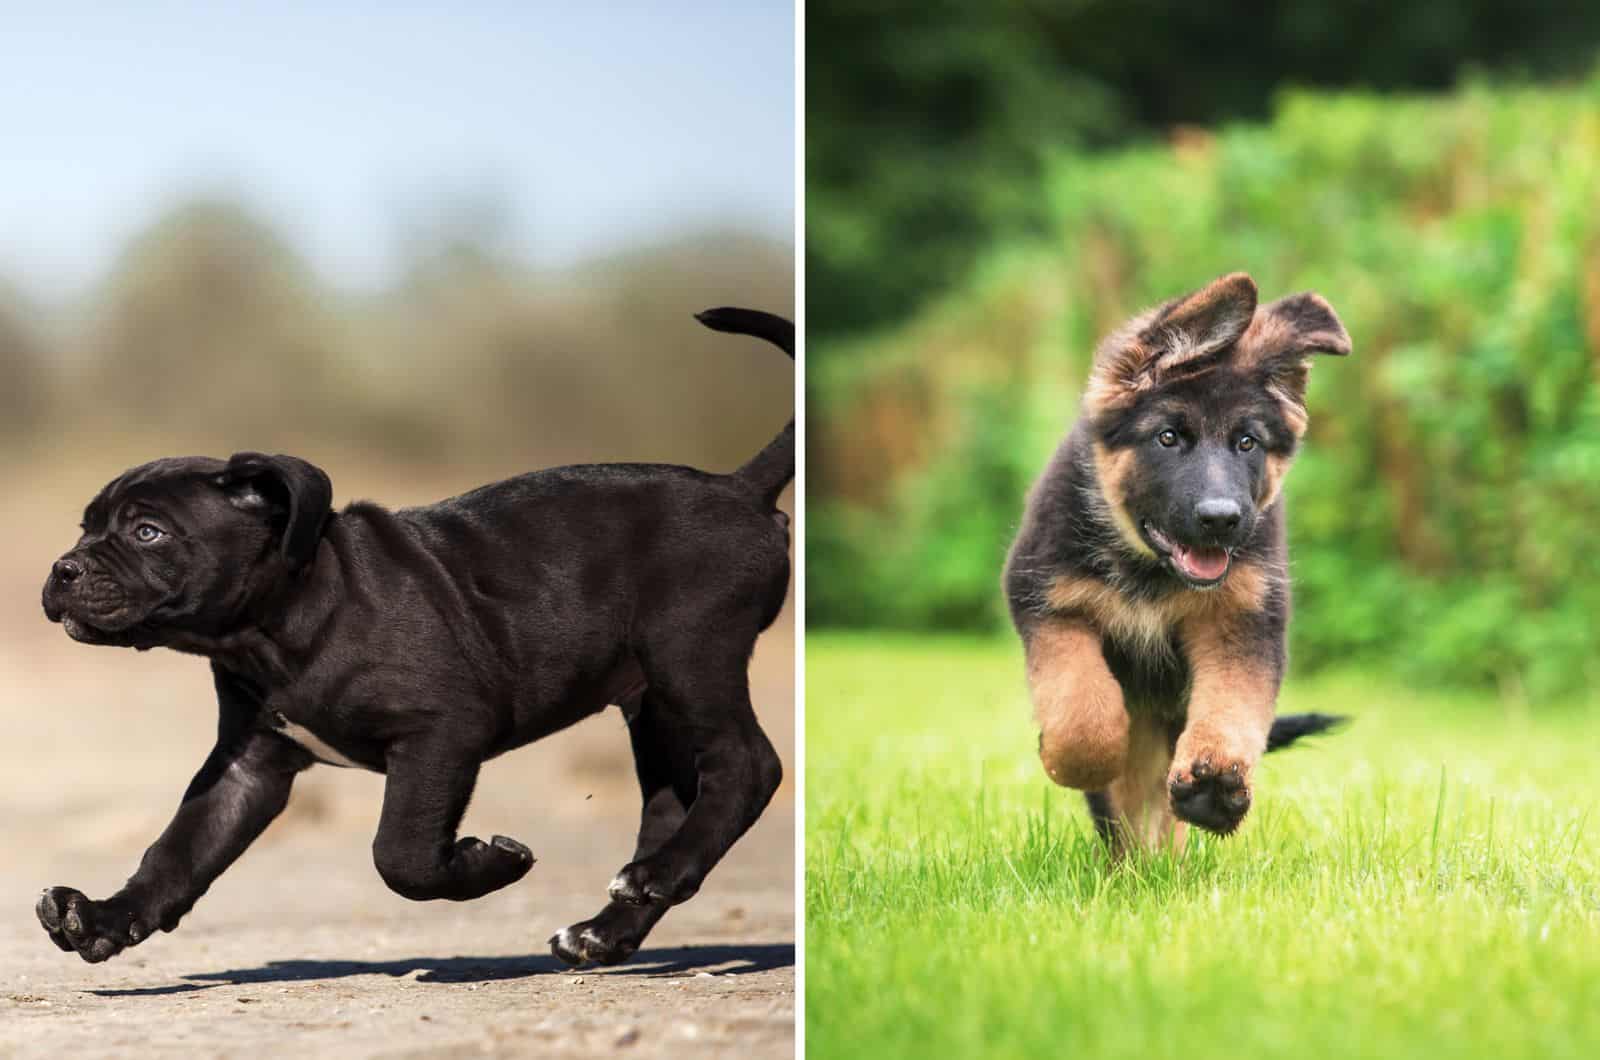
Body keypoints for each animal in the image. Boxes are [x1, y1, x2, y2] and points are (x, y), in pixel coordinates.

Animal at [32, 307, 793, 973]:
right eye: (85, 528)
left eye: (148, 532)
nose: (63, 569)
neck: (280, 622)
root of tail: (739, 490)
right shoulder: (248, 765)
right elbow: (180, 849)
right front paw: (102, 918)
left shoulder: (441, 731)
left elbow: (400, 852)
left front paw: (488, 862)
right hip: (653, 701)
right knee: (671, 802)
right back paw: (608, 926)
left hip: (689, 656)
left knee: (748, 764)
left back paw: (654, 878)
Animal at [1011, 273, 1350, 858]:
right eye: (1168, 438)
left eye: (1247, 442)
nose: (1221, 519)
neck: (1153, 574)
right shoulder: (1047, 603)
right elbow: (1082, 712)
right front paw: (1074, 759)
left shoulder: (1242, 622)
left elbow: (1232, 707)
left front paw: (1215, 784)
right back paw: (1132, 861)